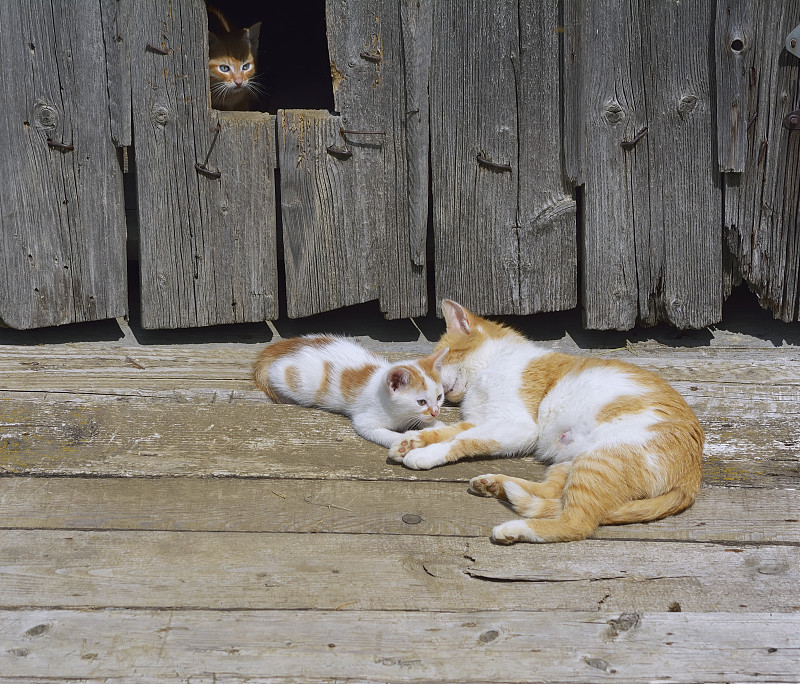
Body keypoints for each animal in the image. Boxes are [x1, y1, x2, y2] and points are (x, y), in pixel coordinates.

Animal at [253, 336, 446, 448]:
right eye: (421, 402)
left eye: (439, 397)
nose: (435, 412)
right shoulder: (364, 421)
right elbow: (383, 434)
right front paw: (403, 441)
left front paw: (438, 426)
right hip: (295, 380)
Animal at [390, 300, 704, 544]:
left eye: (440, 363)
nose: (438, 395)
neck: (488, 368)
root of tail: (692, 480)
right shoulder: (484, 421)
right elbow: (448, 431)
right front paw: (409, 442)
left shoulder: (517, 426)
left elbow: (461, 439)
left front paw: (425, 454)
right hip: (571, 463)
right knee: (552, 496)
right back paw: (495, 485)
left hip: (600, 459)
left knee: (577, 522)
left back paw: (513, 528)